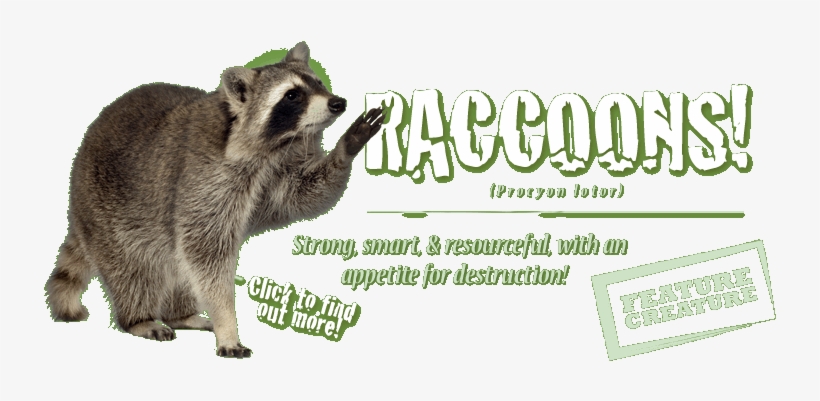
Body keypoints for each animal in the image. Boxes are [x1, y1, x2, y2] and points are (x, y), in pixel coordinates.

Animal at [45, 42, 384, 358]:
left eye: (319, 83)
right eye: (292, 96)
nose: (338, 103)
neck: (271, 147)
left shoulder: (278, 170)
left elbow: (303, 195)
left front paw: (345, 148)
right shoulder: (204, 177)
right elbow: (206, 252)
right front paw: (227, 325)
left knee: (175, 265)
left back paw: (180, 314)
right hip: (105, 209)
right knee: (135, 268)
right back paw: (138, 318)